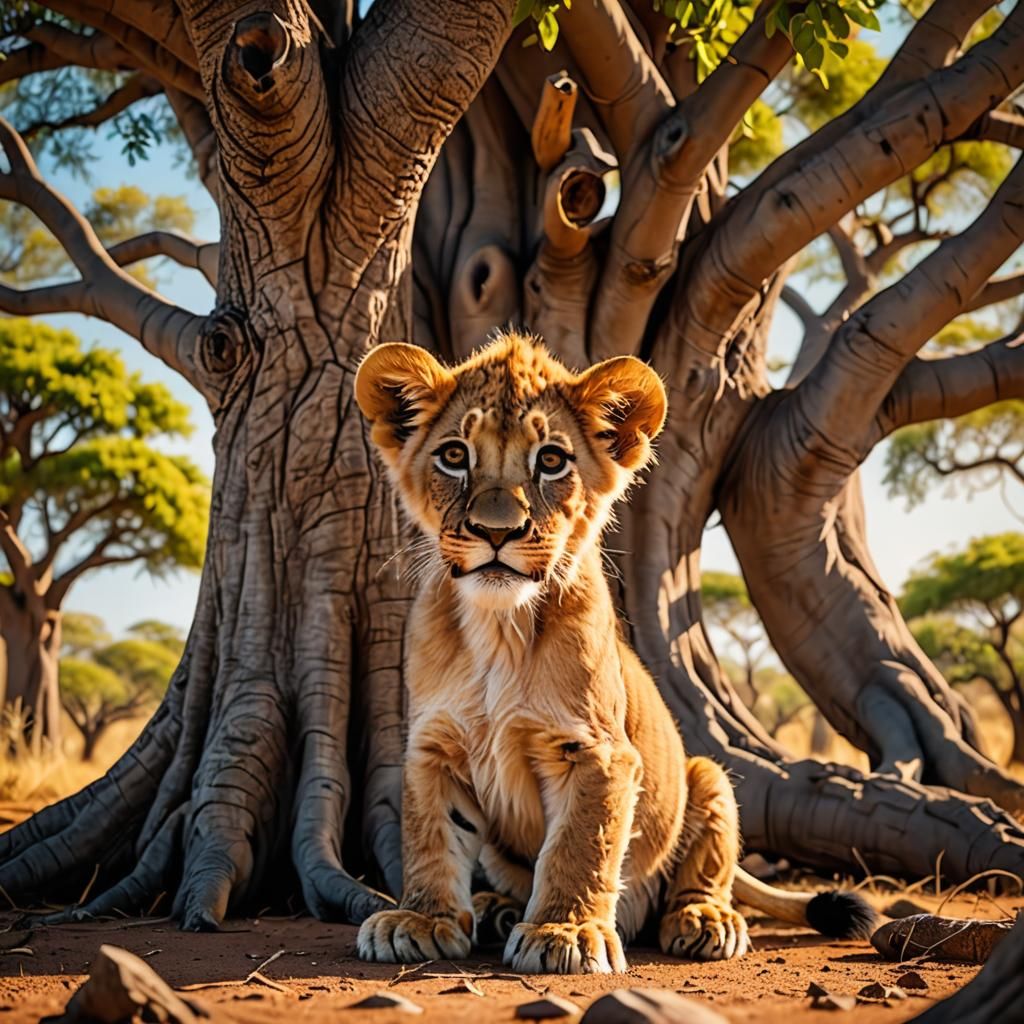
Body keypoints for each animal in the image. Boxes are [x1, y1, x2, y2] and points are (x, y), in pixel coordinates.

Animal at [352, 330, 875, 974]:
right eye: (454, 455)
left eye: (551, 461)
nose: (496, 532)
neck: (499, 625)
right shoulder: (434, 746)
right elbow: (429, 837)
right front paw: (421, 919)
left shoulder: (597, 750)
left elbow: (580, 845)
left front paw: (565, 932)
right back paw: (496, 907)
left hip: (705, 775)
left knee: (710, 871)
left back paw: (705, 920)